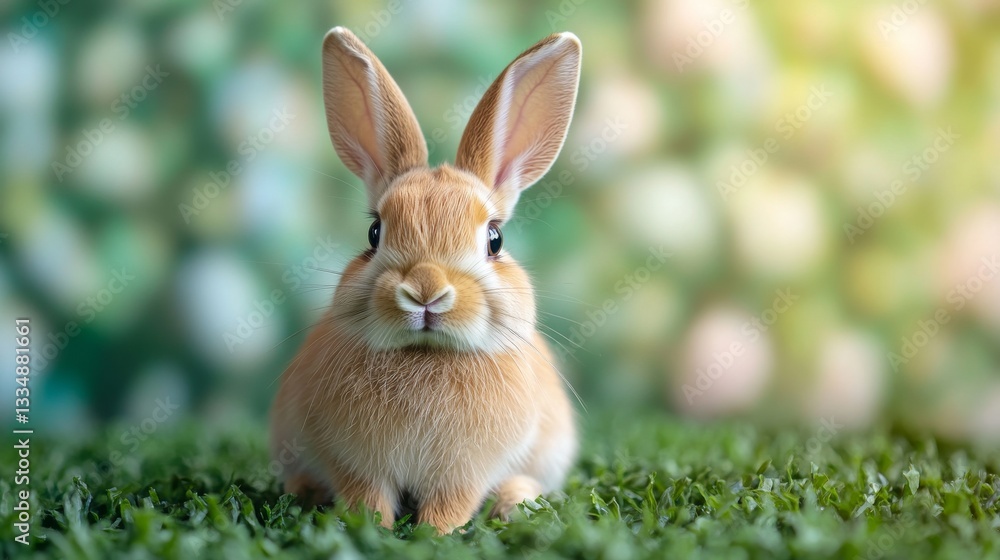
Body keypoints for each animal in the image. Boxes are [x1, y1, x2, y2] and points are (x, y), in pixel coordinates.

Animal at [269, 26, 582, 534]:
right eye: (374, 233)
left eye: (495, 239)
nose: (425, 291)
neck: (425, 355)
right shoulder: (353, 462)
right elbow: (365, 496)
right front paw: (371, 528)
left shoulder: (464, 473)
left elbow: (451, 504)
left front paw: (435, 533)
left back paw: (514, 501)